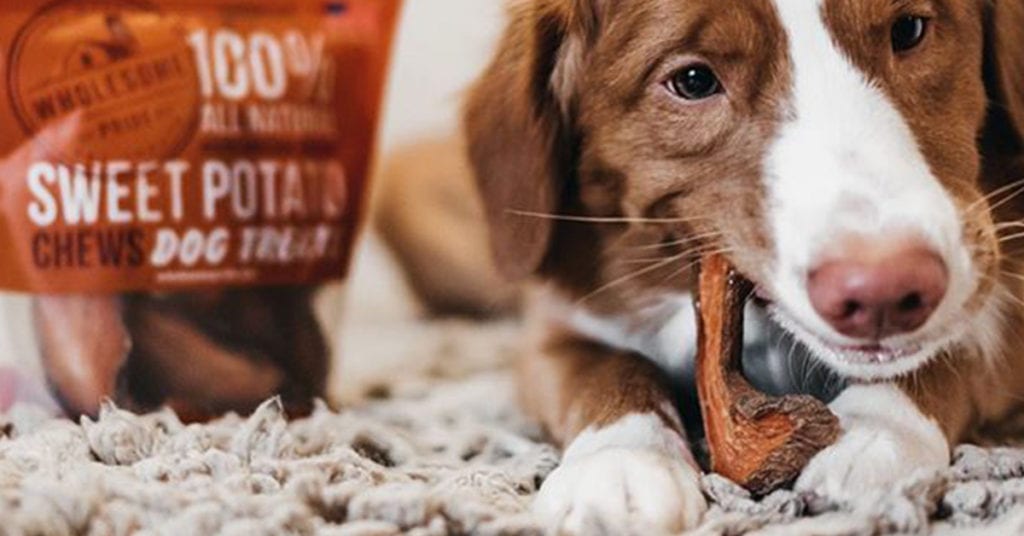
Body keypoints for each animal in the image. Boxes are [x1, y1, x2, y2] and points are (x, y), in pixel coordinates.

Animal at [380, 0, 1024, 532]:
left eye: (909, 28)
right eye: (693, 80)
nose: (885, 293)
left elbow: (958, 348)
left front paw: (876, 431)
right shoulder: (555, 323)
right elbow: (603, 368)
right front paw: (622, 463)